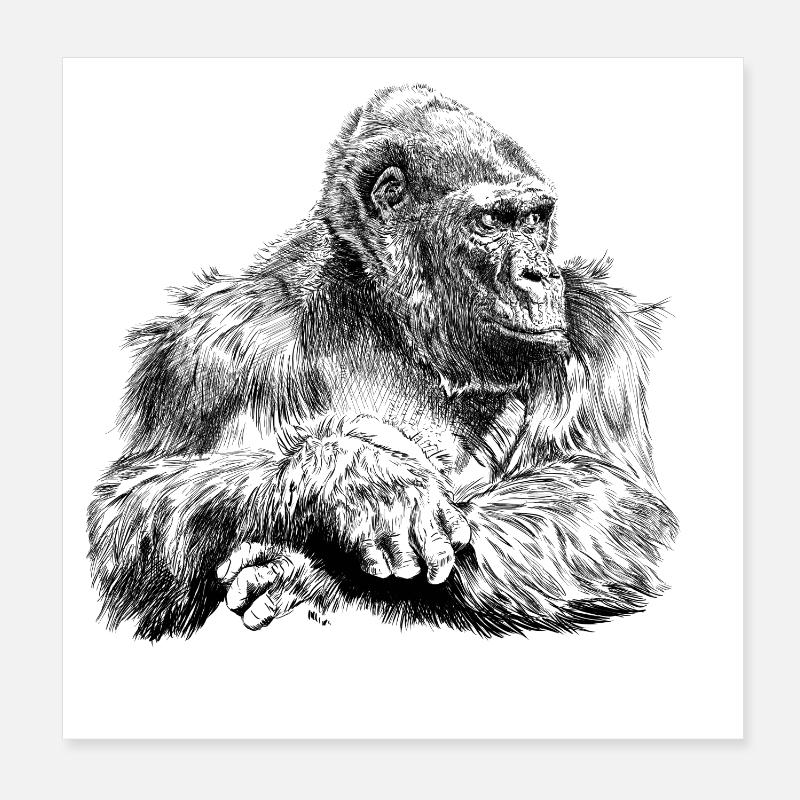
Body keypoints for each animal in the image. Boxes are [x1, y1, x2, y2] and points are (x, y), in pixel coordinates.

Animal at [88, 84, 678, 640]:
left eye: (535, 219)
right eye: (492, 221)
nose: (540, 274)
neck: (390, 316)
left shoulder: (603, 331)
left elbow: (612, 502)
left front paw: (313, 573)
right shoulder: (212, 346)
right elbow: (132, 507)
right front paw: (356, 482)